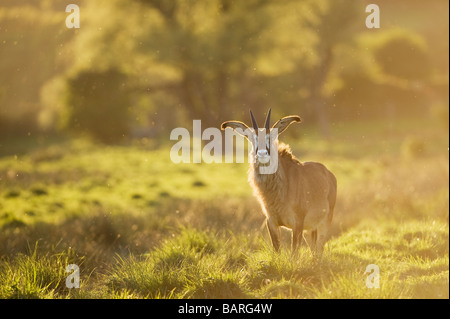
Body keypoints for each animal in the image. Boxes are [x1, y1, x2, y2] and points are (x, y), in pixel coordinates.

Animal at [221, 110, 338, 258]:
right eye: (252, 138)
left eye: (270, 137)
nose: (262, 154)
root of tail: (329, 174)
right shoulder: (271, 222)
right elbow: (277, 250)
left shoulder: (298, 223)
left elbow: (294, 253)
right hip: (310, 229)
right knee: (313, 248)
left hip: (324, 222)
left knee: (319, 248)